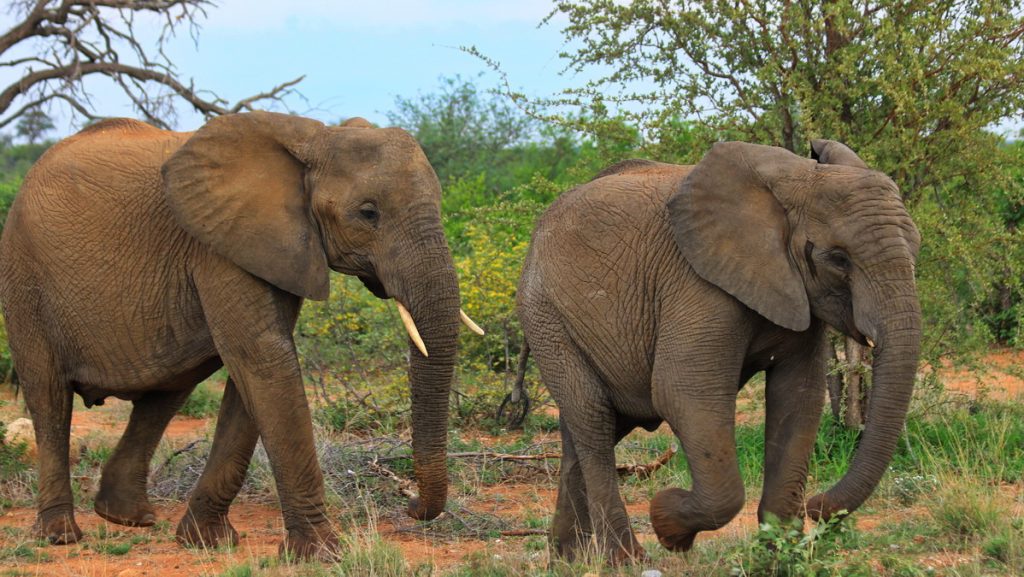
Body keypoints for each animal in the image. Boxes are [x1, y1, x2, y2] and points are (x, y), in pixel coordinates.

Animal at [0, 112, 483, 561]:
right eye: (368, 213)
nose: (410, 504)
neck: (317, 137)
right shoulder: (221, 246)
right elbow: (265, 359)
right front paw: (322, 554)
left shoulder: (277, 247)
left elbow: (252, 376)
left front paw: (206, 541)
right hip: (24, 281)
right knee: (50, 398)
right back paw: (61, 534)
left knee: (166, 393)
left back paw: (126, 517)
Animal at [516, 140, 925, 565]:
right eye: (838, 258)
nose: (816, 505)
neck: (798, 180)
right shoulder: (695, 282)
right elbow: (683, 393)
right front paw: (668, 525)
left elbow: (798, 397)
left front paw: (779, 557)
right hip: (545, 314)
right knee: (593, 419)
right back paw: (625, 561)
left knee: (591, 429)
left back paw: (568, 559)